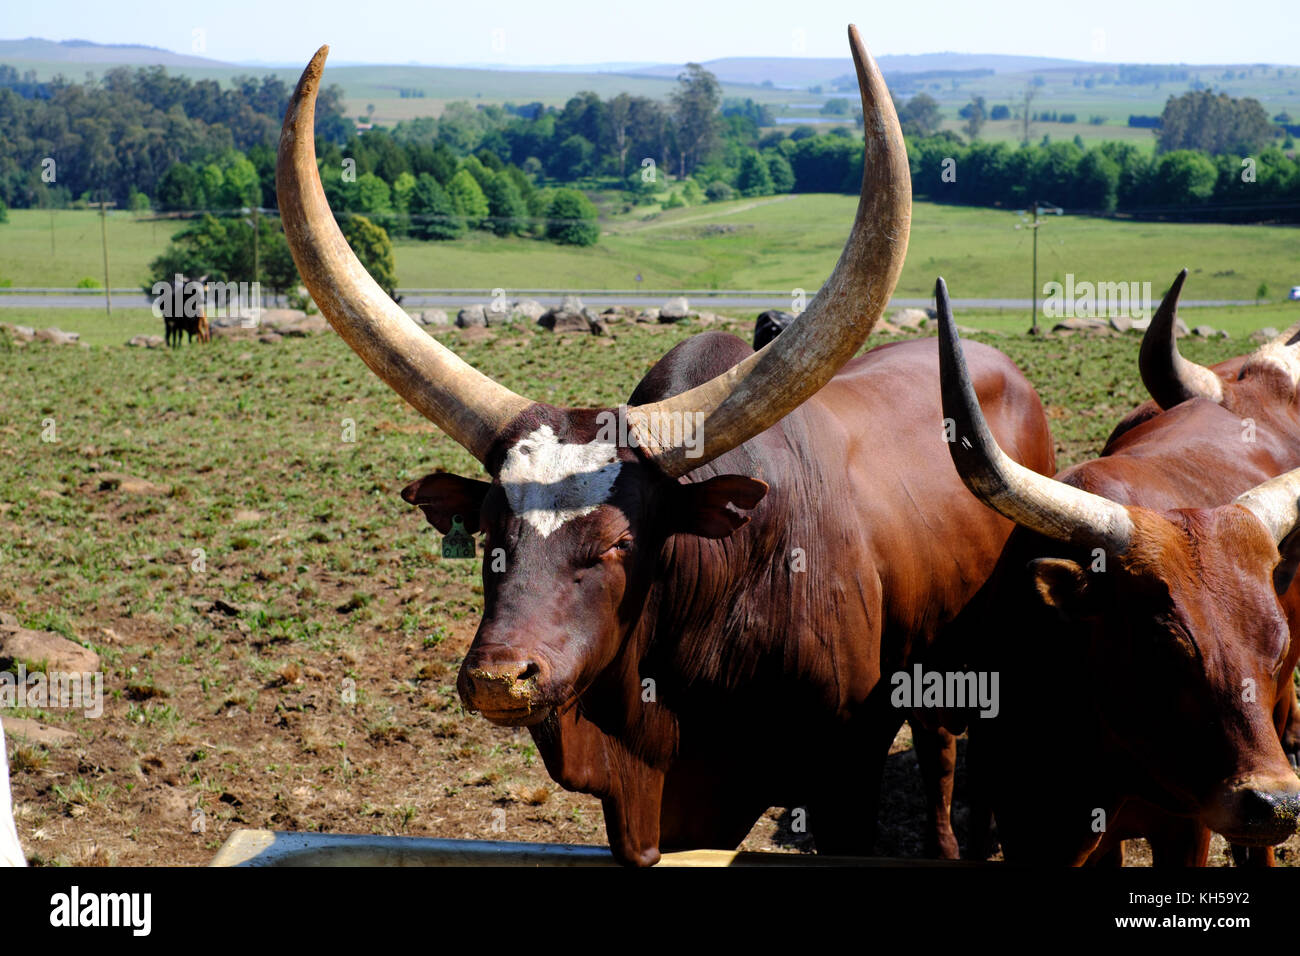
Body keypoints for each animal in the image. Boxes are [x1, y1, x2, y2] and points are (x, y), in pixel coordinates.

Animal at [276, 27, 1056, 865]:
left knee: (948, 744)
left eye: (621, 544)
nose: (500, 678)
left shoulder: (847, 772)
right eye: (488, 534)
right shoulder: (656, 811)